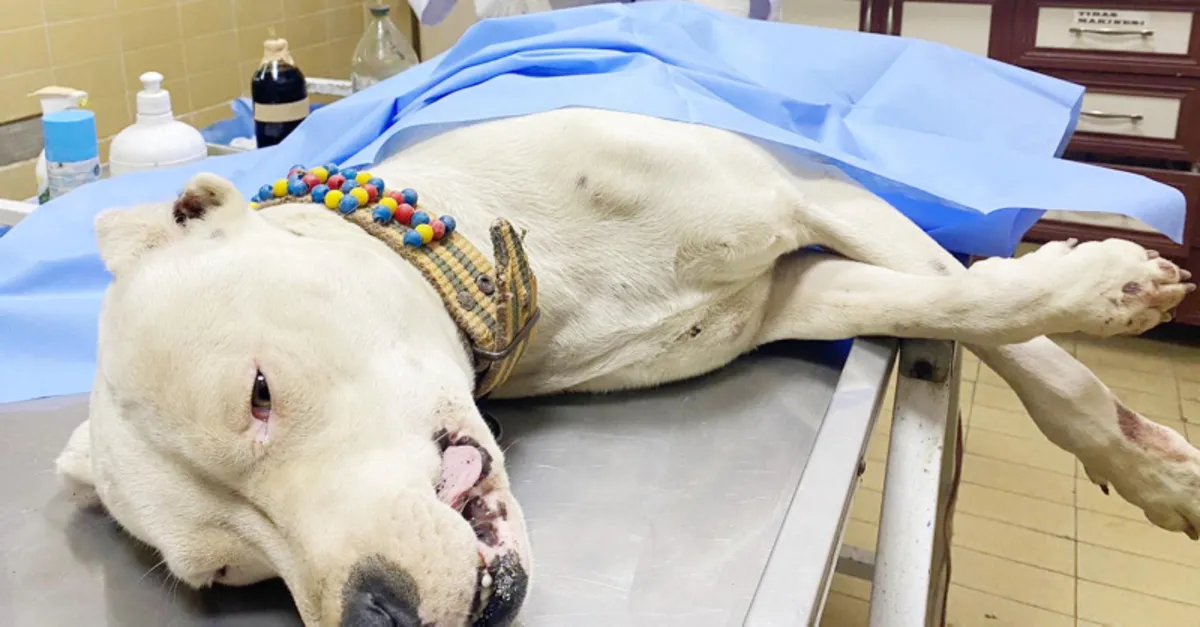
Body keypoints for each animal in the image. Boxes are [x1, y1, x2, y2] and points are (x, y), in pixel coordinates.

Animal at [52, 108, 1200, 626]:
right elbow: (944, 299)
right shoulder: (787, 297)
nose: (378, 611)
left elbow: (992, 313)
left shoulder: (815, 195)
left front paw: (1115, 332)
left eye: (259, 394)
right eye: (227, 574)